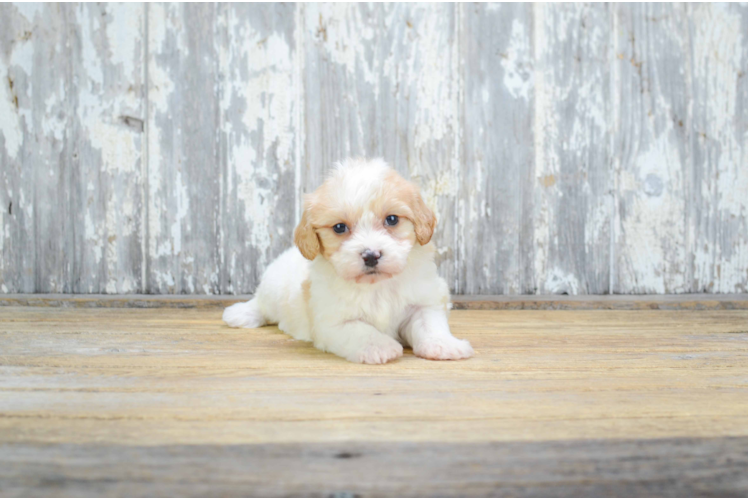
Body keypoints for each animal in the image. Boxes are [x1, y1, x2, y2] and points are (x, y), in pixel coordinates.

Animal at [222, 156, 476, 364]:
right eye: (339, 227)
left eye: (392, 219)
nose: (371, 255)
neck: (377, 286)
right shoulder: (333, 321)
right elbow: (360, 330)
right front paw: (379, 347)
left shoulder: (424, 301)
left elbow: (430, 324)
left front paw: (444, 345)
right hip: (273, 289)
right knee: (262, 304)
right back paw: (241, 313)